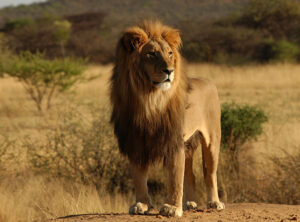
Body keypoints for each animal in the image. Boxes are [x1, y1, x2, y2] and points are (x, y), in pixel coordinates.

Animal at [109, 20, 224, 217]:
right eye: (151, 54)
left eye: (170, 53)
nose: (169, 71)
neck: (149, 99)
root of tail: (208, 81)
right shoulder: (136, 141)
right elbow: (139, 177)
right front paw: (142, 204)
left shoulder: (173, 141)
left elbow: (175, 177)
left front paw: (171, 207)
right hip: (188, 144)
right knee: (191, 174)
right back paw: (190, 203)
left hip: (212, 139)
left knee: (209, 173)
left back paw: (214, 202)